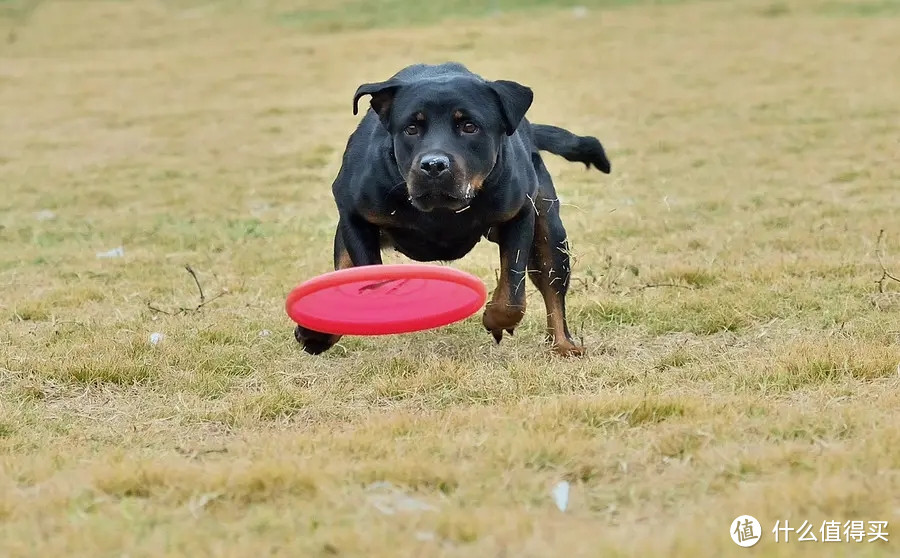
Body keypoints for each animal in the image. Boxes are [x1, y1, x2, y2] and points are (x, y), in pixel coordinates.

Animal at [296, 62, 612, 358]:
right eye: (411, 128)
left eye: (469, 126)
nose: (434, 165)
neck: (441, 211)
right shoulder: (354, 213)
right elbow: (371, 280)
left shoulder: (520, 213)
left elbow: (513, 293)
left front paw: (495, 319)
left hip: (549, 231)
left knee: (552, 285)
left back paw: (564, 345)